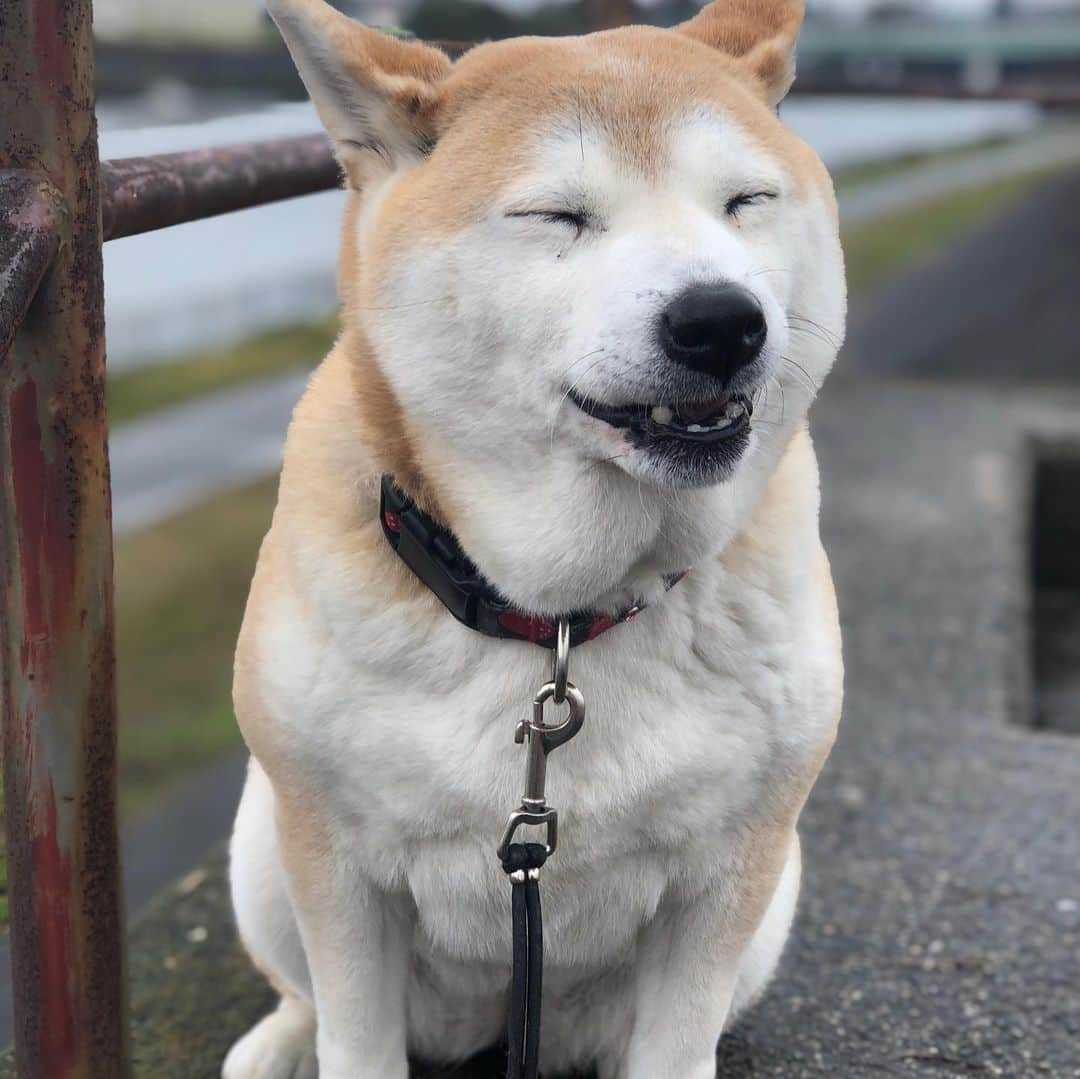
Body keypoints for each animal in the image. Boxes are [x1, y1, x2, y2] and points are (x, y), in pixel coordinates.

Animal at [223, 0, 846, 1075]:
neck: (556, 617)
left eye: (746, 201)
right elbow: (354, 1031)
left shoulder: (731, 873)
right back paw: (279, 1040)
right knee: (302, 991)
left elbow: (677, 1043)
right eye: (557, 215)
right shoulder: (335, 867)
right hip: (264, 842)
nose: (722, 320)